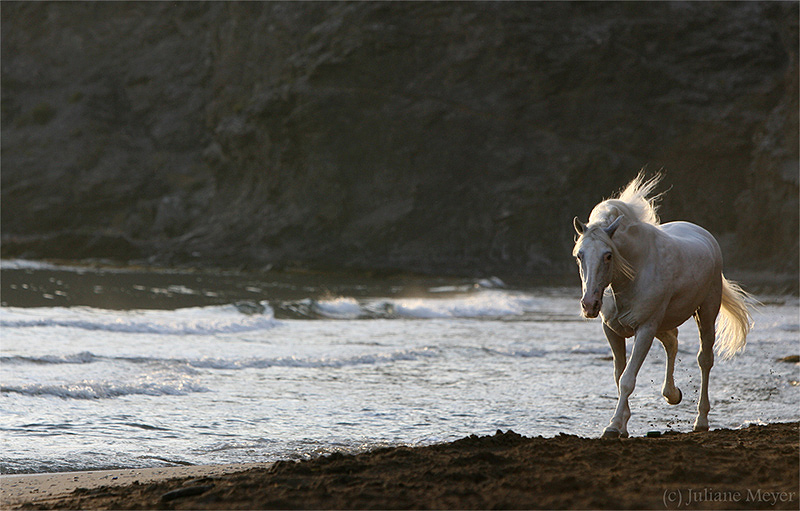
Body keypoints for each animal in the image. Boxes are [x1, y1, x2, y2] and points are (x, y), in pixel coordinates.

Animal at [572, 174, 752, 438]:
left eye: (608, 255)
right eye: (580, 255)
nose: (589, 305)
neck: (632, 274)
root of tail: (704, 234)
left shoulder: (645, 329)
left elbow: (627, 379)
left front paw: (613, 426)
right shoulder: (613, 331)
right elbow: (619, 376)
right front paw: (622, 425)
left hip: (706, 311)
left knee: (704, 359)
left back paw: (701, 420)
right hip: (664, 322)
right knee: (672, 342)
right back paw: (672, 394)